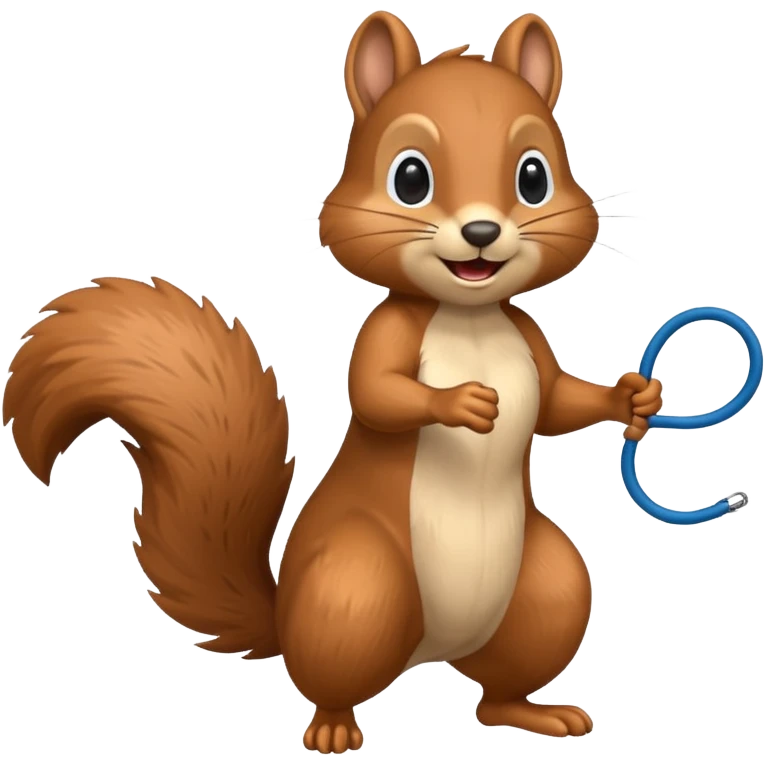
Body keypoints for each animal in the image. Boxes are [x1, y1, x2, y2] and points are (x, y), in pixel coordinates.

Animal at [2, 11, 662, 755]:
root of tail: (428, 652)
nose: (482, 231)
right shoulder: (385, 333)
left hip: (545, 592)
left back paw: (538, 713)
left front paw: (631, 397)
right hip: (355, 586)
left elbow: (555, 401)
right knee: (334, 676)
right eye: (410, 177)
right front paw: (459, 402)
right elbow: (379, 394)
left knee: (498, 690)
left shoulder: (528, 337)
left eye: (534, 177)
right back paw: (334, 727)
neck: (467, 314)